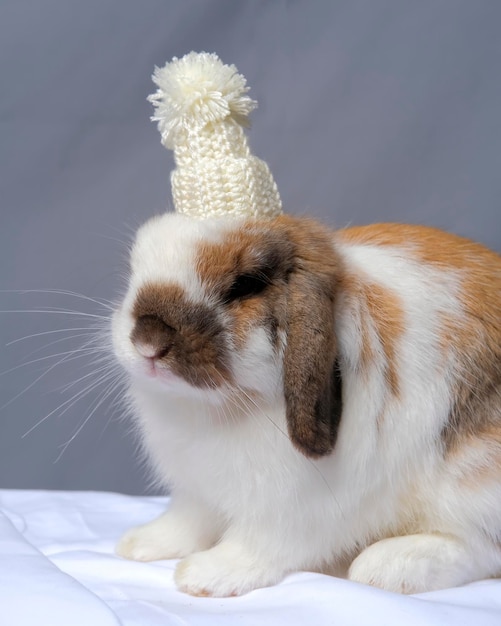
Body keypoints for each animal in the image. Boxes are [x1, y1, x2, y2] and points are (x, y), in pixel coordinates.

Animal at [112, 211, 500, 596]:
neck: (215, 407)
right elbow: (186, 522)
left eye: (245, 285)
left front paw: (204, 575)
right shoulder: (195, 492)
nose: (148, 342)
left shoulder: (289, 509)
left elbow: (258, 543)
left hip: (471, 479)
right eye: (134, 269)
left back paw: (385, 567)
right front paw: (140, 544)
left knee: (479, 547)